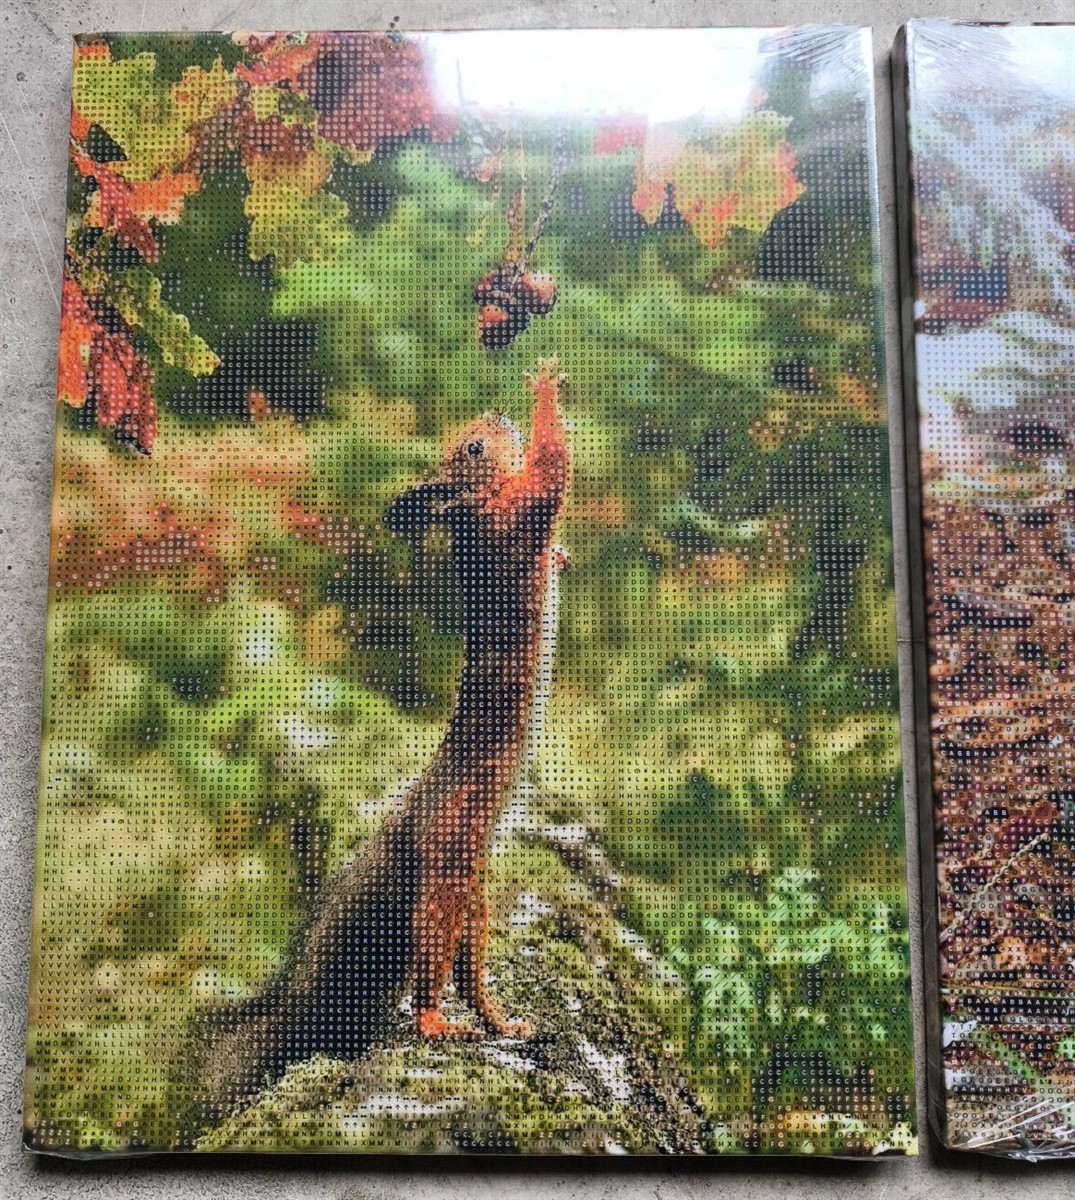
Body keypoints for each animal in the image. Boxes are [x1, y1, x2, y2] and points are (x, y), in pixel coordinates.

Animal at [198, 359, 570, 1120]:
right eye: (472, 448)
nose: (496, 415)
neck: (467, 522)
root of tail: (412, 822)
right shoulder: (514, 520)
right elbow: (550, 473)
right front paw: (545, 390)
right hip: (449, 865)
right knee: (431, 967)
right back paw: (435, 1021)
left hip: (473, 891)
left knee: (469, 973)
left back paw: (502, 1019)